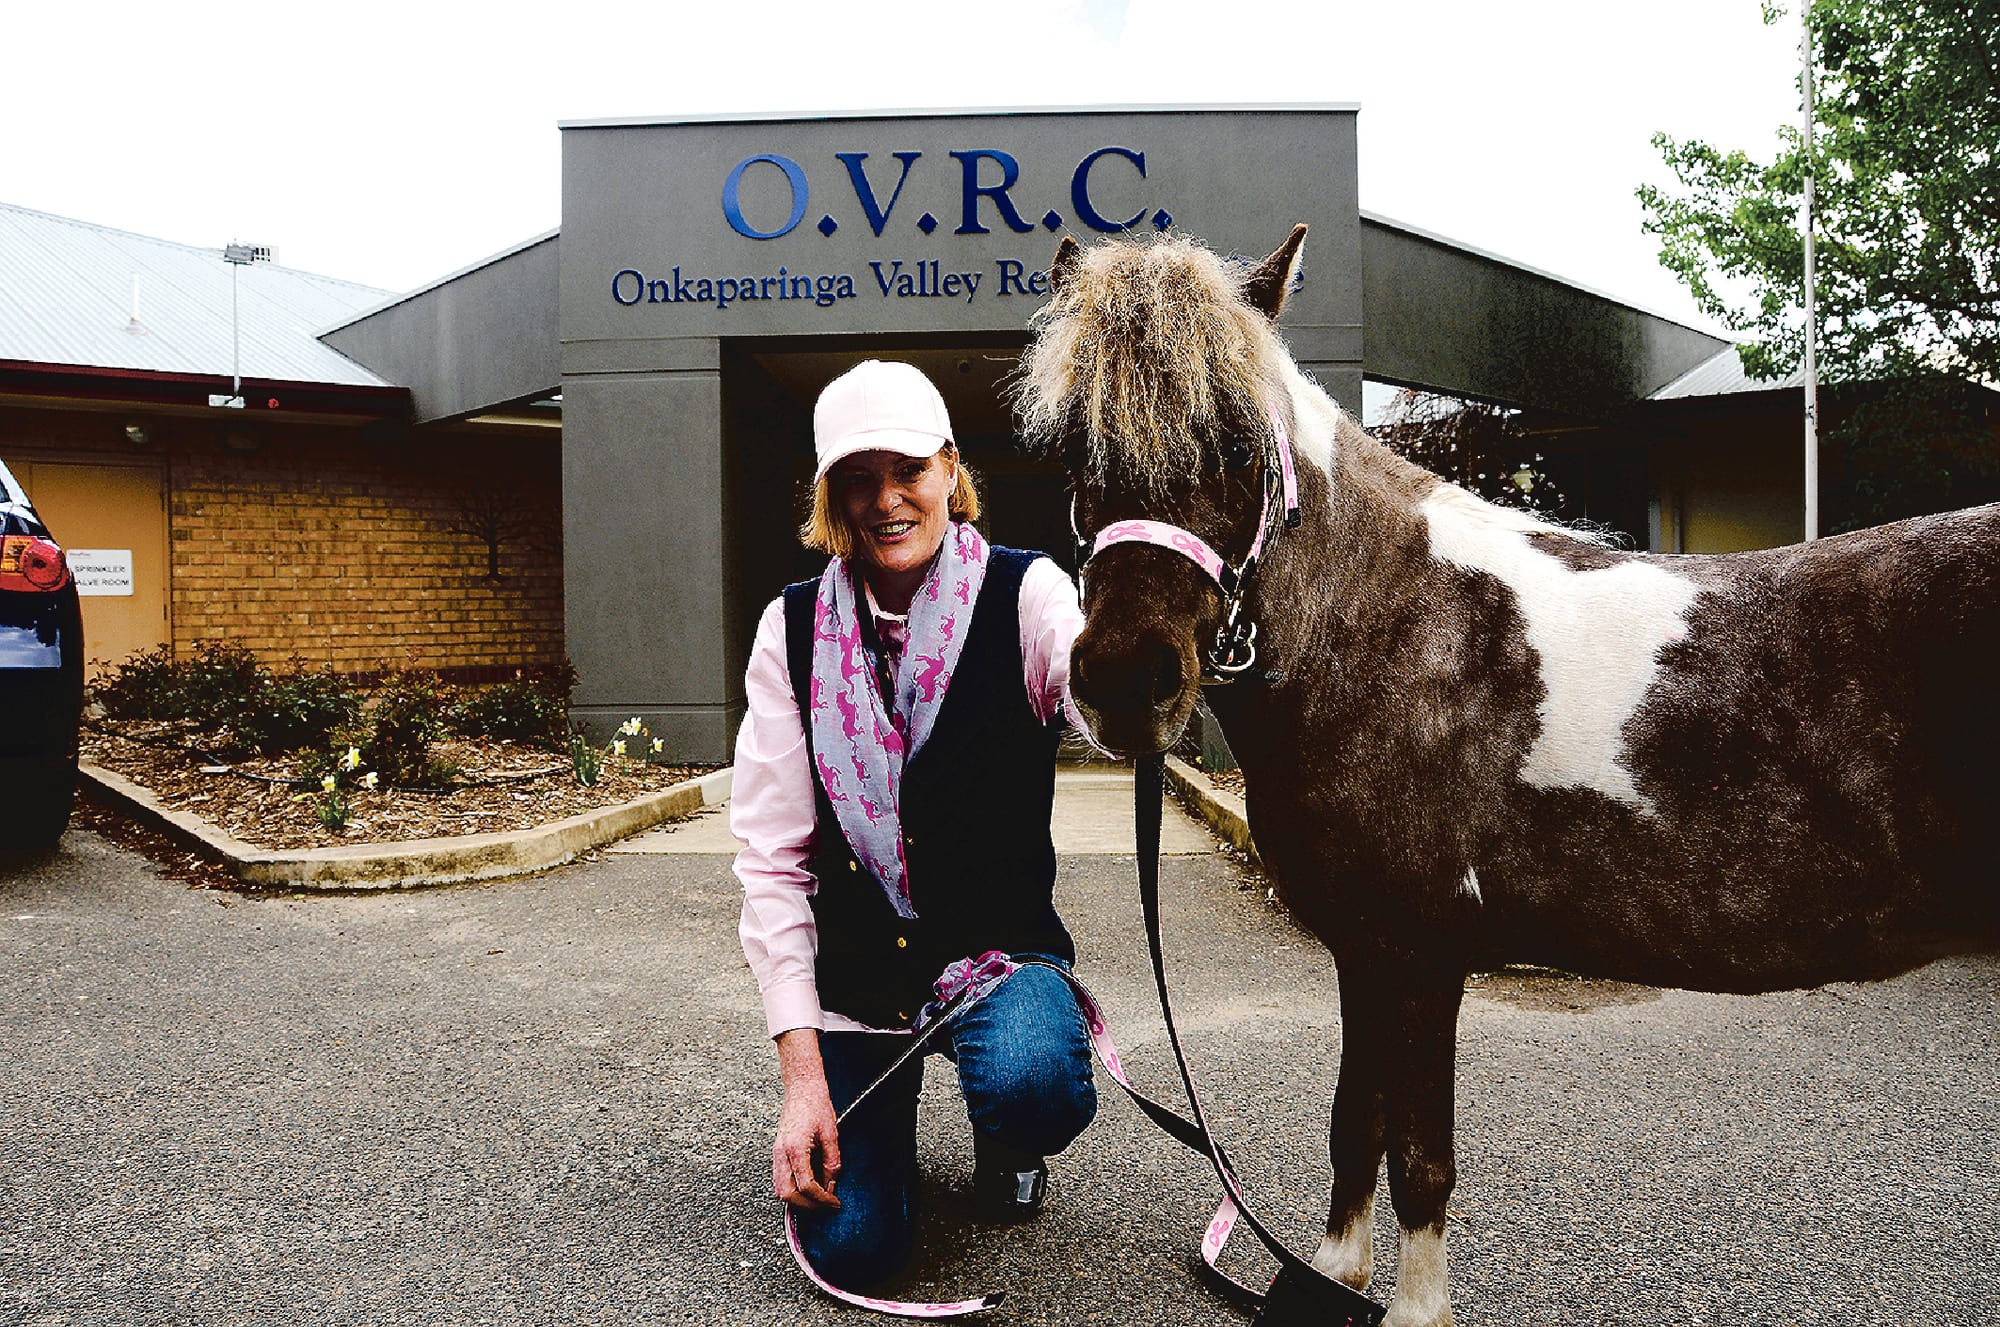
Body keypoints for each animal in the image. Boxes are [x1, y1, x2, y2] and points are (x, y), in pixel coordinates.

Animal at [1014, 225, 2000, 1327]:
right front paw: (1334, 1278)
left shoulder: (1421, 953)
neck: (1390, 624)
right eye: (1073, 452)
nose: (1122, 683)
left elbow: (1419, 1158)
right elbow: (1352, 1126)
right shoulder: (1365, 951)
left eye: (1234, 444)